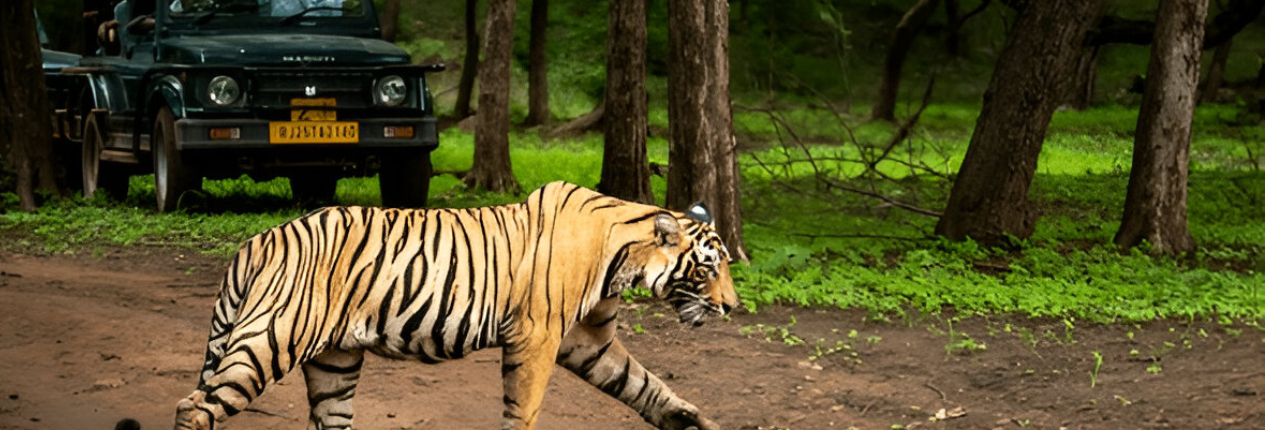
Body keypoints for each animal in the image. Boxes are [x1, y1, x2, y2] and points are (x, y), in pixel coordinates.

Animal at [173, 181, 739, 430]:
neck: (623, 259)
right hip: (270, 340)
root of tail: (258, 240)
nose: (733, 307)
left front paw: (689, 421)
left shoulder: (588, 342)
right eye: (709, 268)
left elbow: (643, 384)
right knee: (193, 406)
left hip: (333, 360)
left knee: (328, 416)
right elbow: (524, 410)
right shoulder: (536, 337)